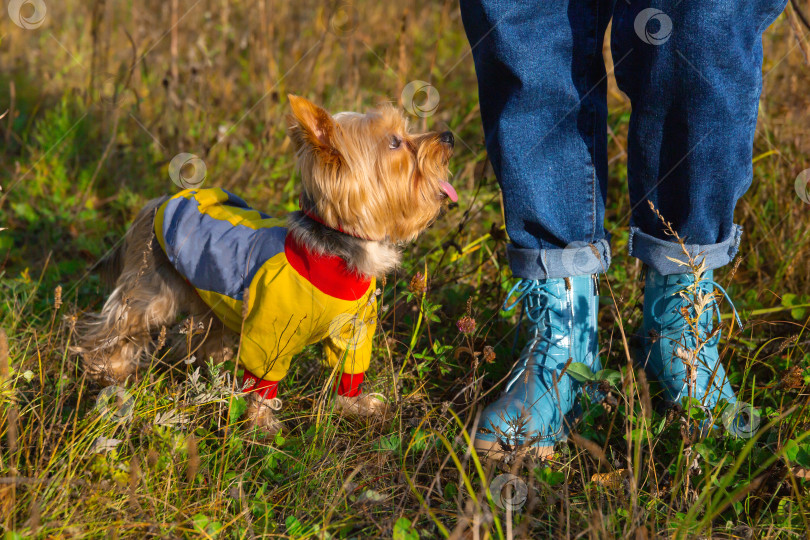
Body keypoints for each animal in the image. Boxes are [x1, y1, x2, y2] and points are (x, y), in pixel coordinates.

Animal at [76, 95, 454, 436]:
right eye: (395, 142)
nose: (448, 136)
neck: (337, 248)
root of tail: (157, 202)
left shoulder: (353, 329)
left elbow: (349, 371)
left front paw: (358, 407)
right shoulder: (270, 334)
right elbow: (261, 380)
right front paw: (260, 425)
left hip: (211, 299)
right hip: (152, 290)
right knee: (119, 325)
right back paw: (104, 372)